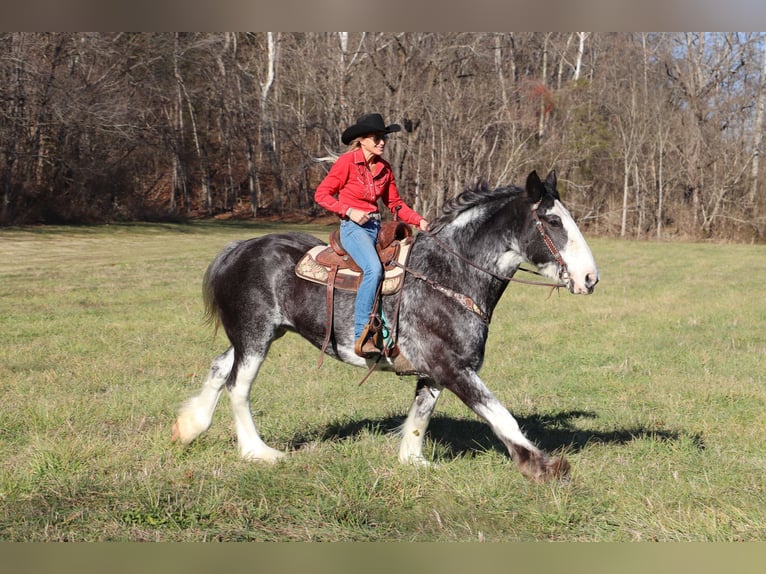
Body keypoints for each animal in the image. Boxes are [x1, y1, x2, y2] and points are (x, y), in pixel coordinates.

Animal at [172, 170, 600, 482]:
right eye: (552, 220)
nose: (590, 277)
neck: (448, 275)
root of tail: (239, 248)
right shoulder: (453, 367)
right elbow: (499, 413)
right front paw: (541, 466)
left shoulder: (435, 370)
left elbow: (420, 417)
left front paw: (413, 461)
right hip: (255, 336)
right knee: (238, 387)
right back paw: (257, 452)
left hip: (257, 336)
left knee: (219, 368)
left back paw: (189, 427)